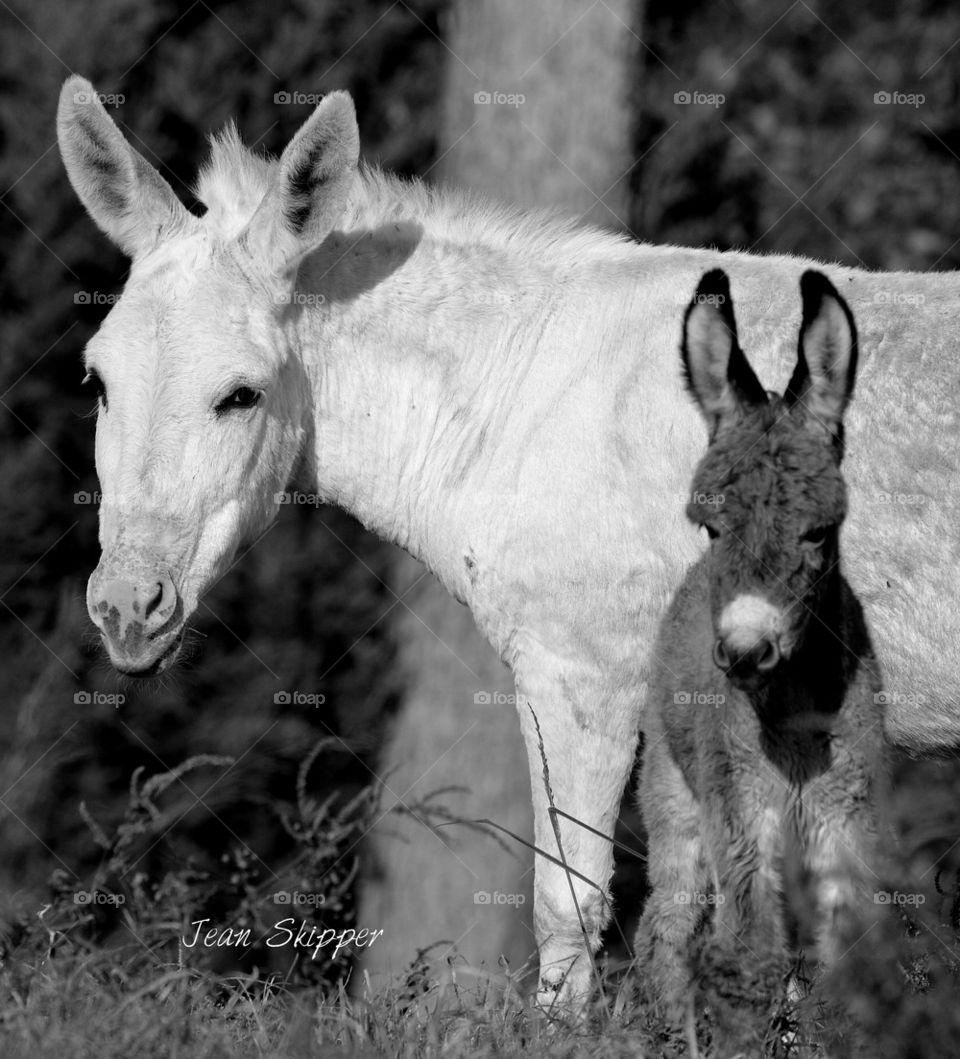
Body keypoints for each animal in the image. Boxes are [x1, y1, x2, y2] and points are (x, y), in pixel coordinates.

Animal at [639, 268, 893, 1046]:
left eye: (818, 532)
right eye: (710, 527)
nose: (746, 651)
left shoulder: (848, 814)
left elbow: (846, 965)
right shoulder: (740, 813)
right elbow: (749, 957)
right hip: (674, 793)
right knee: (667, 929)